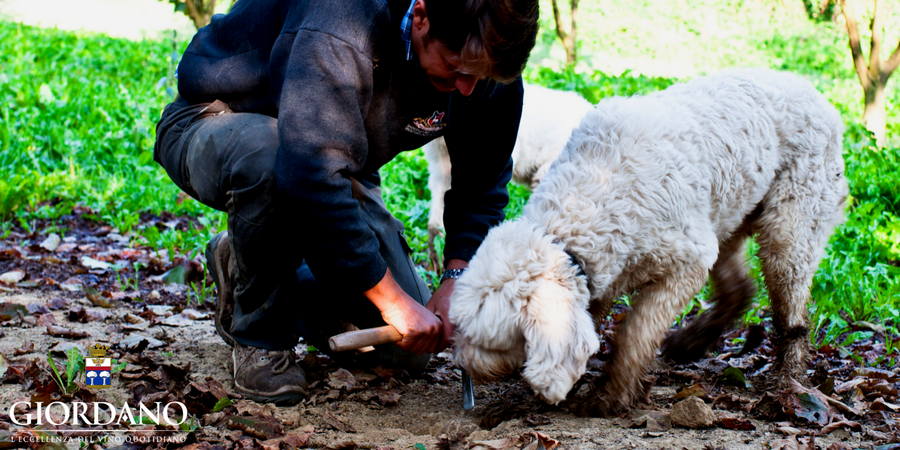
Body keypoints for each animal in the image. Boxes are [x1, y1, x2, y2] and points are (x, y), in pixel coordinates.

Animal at [450, 68, 852, 414]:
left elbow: (636, 333)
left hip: (789, 230)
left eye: (489, 341)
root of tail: (822, 98)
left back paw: (788, 380)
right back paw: (693, 340)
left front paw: (611, 394)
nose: (460, 362)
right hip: (728, 214)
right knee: (740, 289)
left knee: (793, 317)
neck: (591, 197)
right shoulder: (605, 271)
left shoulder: (686, 262)